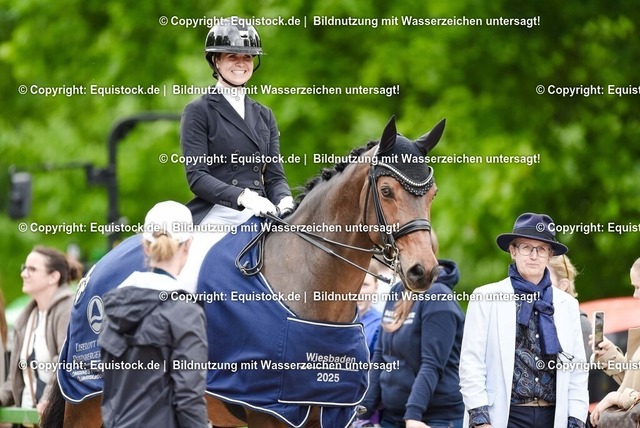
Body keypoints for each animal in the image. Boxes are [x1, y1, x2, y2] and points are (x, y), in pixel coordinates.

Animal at [41, 116, 445, 428]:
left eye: (432, 194)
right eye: (388, 191)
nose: (422, 270)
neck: (310, 288)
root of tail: (90, 277)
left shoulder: (332, 410)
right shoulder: (270, 412)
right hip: (90, 399)